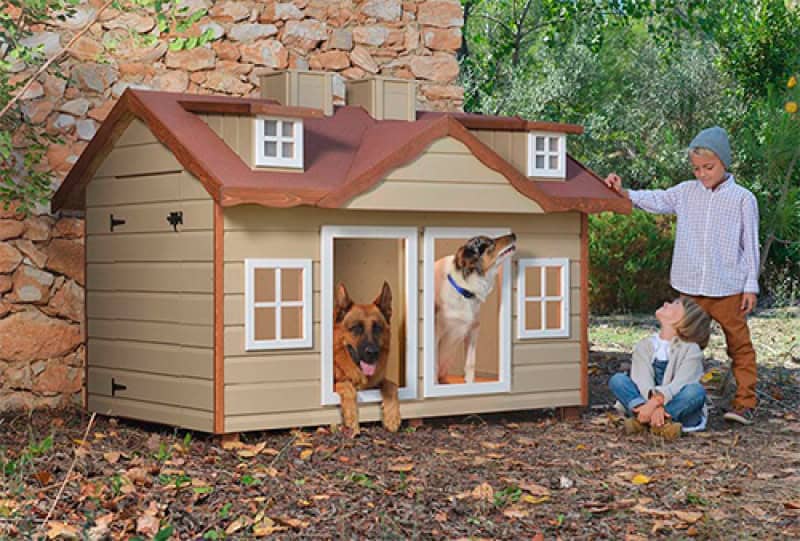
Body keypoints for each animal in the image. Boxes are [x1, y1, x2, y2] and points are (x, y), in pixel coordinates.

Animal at [332, 280, 400, 432]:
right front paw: (351, 418)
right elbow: (347, 386)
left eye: (377, 328)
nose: (373, 352)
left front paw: (392, 416)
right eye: (356, 328)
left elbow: (392, 386)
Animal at [434, 232, 516, 384]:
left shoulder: (472, 330)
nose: (513, 234)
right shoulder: (437, 333)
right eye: (489, 243)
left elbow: (470, 363)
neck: (464, 290)